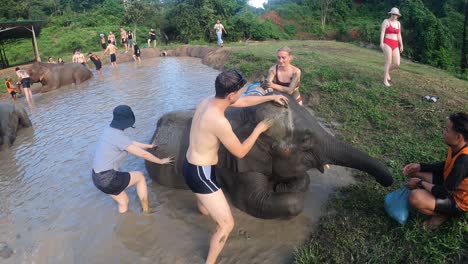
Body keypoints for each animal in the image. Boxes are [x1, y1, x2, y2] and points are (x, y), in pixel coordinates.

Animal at [144, 96, 394, 219]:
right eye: (305, 141)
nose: (388, 181)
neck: (245, 116)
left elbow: (302, 178)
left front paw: (281, 185)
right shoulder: (236, 164)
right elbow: (255, 201)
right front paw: (281, 190)